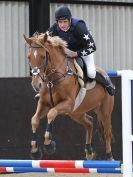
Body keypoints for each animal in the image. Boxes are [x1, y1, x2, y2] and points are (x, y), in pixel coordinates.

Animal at [23, 32, 114, 160]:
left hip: (104, 111)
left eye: (43, 57)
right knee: (89, 123)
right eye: (29, 57)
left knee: (107, 132)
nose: (36, 85)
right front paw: (35, 150)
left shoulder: (68, 104)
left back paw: (109, 156)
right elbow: (34, 120)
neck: (53, 80)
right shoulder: (44, 104)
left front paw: (49, 145)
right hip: (76, 113)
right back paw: (89, 151)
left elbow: (51, 114)